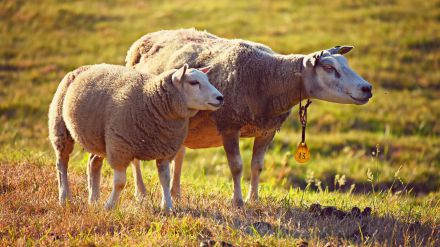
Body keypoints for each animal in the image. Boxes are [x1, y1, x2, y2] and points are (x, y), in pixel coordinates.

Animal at [48, 62, 223, 209]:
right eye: (194, 82)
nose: (220, 98)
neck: (150, 98)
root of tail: (83, 68)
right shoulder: (120, 147)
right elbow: (120, 183)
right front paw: (109, 206)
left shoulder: (165, 150)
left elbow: (165, 180)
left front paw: (167, 207)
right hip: (60, 128)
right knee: (62, 163)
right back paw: (64, 198)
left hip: (99, 138)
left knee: (93, 163)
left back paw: (94, 200)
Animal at [124, 28, 374, 206]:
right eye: (329, 68)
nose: (367, 88)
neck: (268, 78)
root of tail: (146, 37)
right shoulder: (229, 125)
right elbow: (236, 167)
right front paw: (238, 201)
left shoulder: (267, 130)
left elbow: (257, 166)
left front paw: (254, 199)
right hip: (137, 115)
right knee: (136, 158)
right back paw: (141, 193)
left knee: (179, 155)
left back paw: (175, 193)